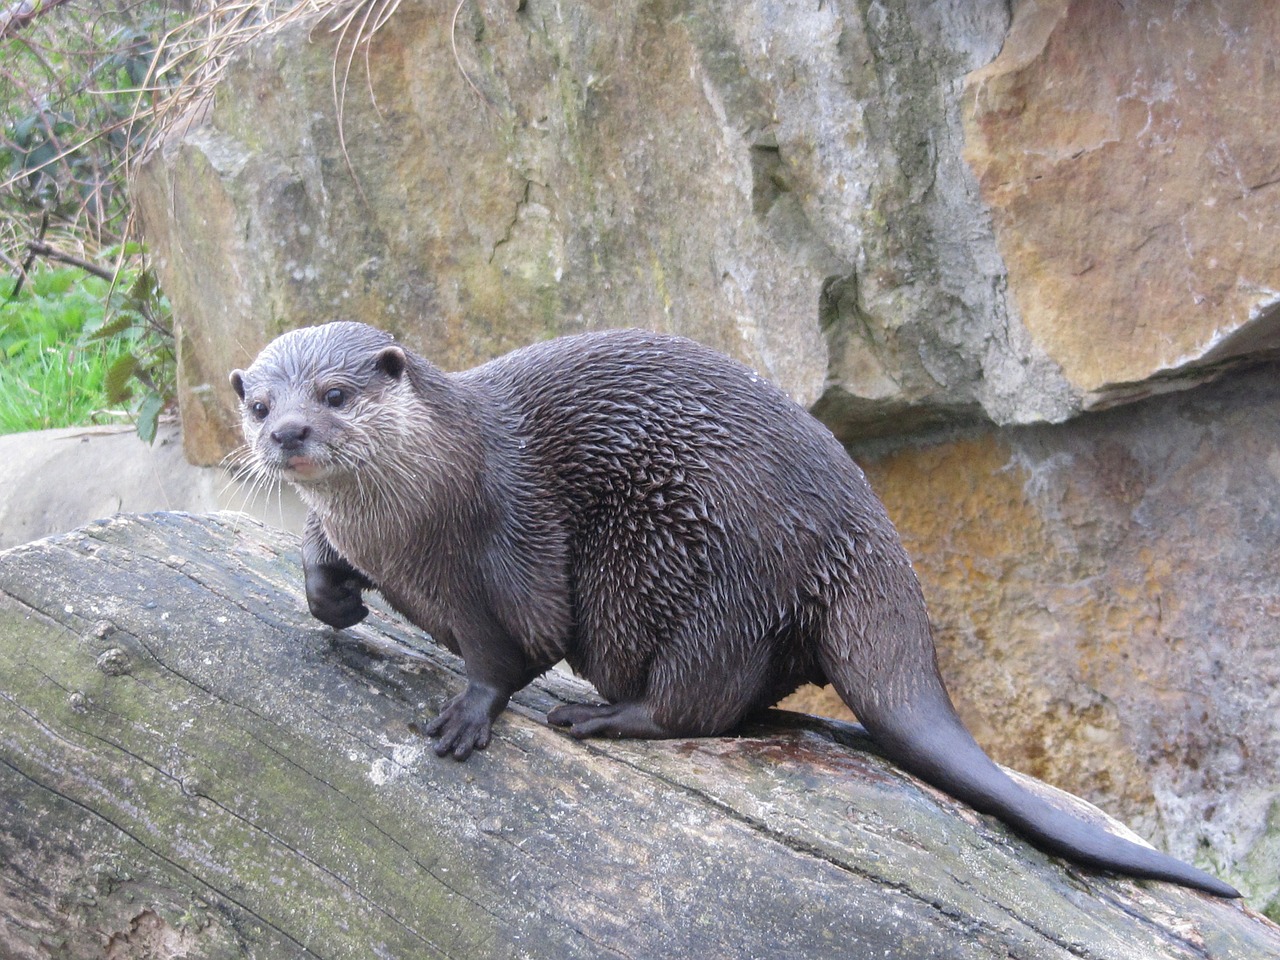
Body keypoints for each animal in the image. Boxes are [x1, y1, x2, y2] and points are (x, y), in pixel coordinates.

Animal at [230, 323, 1239, 901]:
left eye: (335, 394)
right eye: (259, 403)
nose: (289, 433)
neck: (418, 508)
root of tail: (864, 539)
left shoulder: (508, 549)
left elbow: (509, 648)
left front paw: (470, 712)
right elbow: (320, 555)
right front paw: (330, 593)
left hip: (713, 568)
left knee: (697, 701)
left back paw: (603, 715)